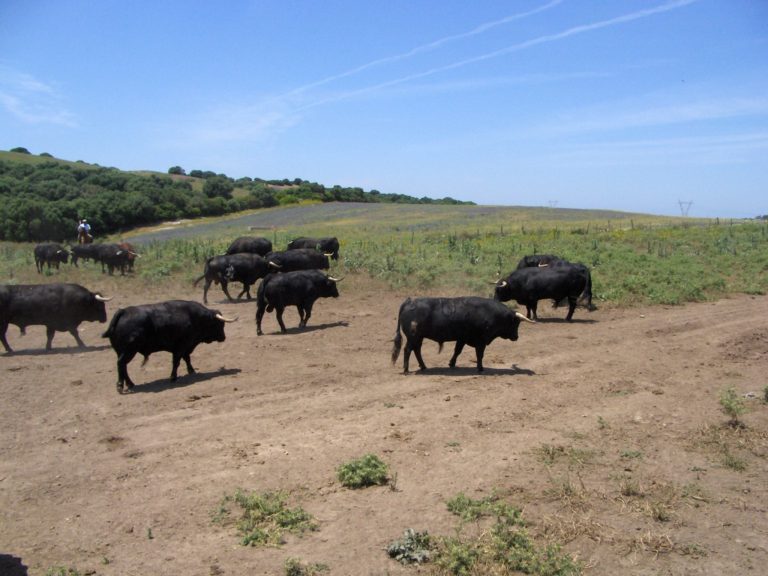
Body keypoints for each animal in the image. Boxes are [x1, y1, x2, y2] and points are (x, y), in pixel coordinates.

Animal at [102, 302, 236, 392]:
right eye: (220, 324)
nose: (223, 337)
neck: (194, 317)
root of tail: (123, 311)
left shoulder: (185, 347)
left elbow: (187, 359)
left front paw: (191, 371)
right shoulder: (181, 346)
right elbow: (176, 362)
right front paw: (173, 377)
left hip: (121, 351)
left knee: (123, 367)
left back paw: (130, 384)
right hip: (128, 351)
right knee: (121, 364)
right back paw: (120, 385)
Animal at [390, 296, 536, 374]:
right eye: (515, 323)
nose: (516, 337)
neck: (491, 314)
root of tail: (410, 301)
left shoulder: (462, 338)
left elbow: (457, 351)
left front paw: (452, 363)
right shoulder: (481, 341)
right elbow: (479, 354)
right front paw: (480, 368)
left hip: (418, 337)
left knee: (417, 350)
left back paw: (423, 366)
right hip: (413, 337)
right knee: (408, 350)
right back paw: (406, 369)